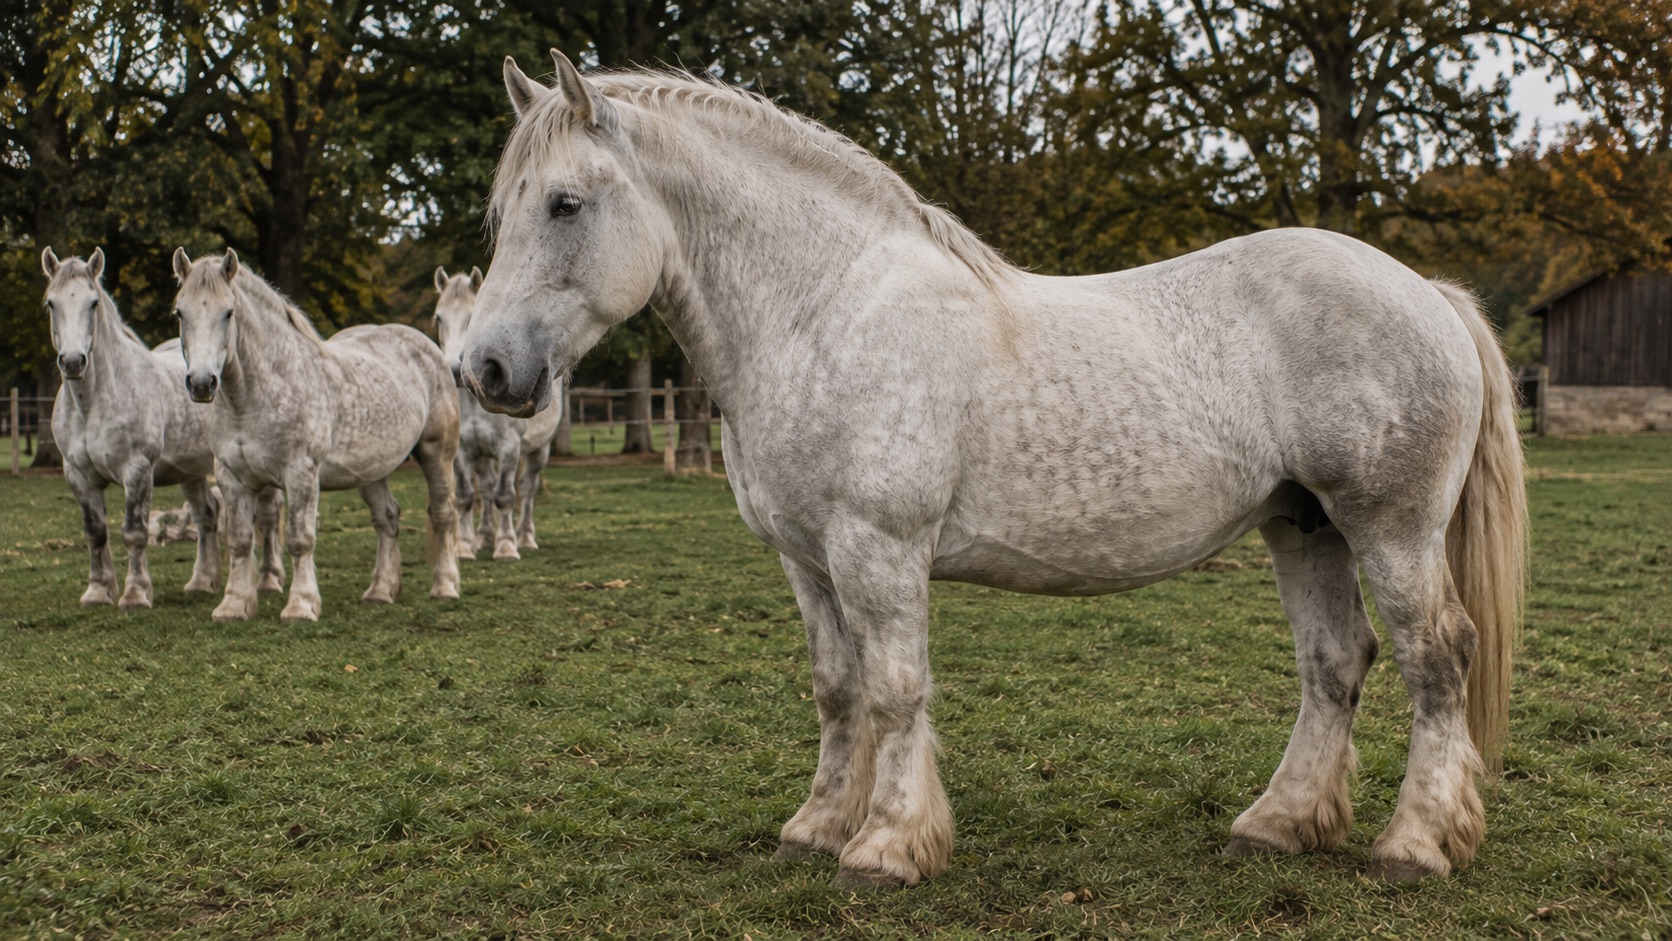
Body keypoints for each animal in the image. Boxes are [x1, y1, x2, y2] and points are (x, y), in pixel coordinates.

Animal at [40, 247, 284, 610]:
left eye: (93, 303)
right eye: (51, 303)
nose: (72, 361)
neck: (93, 403)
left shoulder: (137, 470)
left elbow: (134, 532)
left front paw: (136, 594)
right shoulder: (78, 475)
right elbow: (95, 532)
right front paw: (98, 591)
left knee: (268, 515)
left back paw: (269, 579)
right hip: (191, 471)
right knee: (207, 514)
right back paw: (201, 582)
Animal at [170, 248, 461, 621]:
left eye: (228, 312)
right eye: (180, 312)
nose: (202, 383)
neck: (251, 398)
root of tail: (430, 350)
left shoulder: (301, 473)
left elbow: (300, 539)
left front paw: (301, 605)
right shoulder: (231, 477)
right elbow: (239, 540)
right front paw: (233, 605)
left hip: (437, 453)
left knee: (443, 514)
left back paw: (445, 586)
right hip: (371, 470)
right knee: (387, 519)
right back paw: (381, 591)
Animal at [431, 266, 564, 560]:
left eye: (472, 316)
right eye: (438, 318)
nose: (454, 370)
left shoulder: (509, 447)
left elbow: (505, 495)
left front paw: (506, 546)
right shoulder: (463, 450)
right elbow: (466, 497)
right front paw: (465, 546)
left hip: (539, 450)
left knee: (527, 489)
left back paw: (525, 537)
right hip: (482, 455)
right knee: (486, 488)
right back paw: (483, 537)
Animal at [460, 53, 1528, 888]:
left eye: (565, 202)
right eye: (501, 210)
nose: (488, 371)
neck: (823, 311)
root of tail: (1423, 289)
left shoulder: (879, 549)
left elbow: (896, 688)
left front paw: (887, 846)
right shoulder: (806, 560)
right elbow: (837, 688)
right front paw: (817, 827)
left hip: (1390, 528)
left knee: (1438, 658)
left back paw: (1415, 844)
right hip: (1302, 525)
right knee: (1335, 662)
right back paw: (1279, 825)